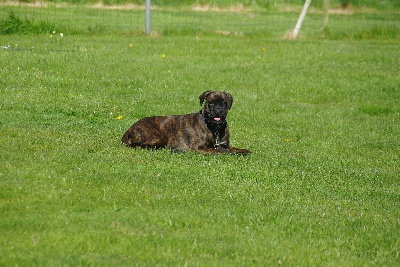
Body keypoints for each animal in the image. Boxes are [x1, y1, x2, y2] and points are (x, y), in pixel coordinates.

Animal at [120, 91, 250, 156]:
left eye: (224, 103)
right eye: (211, 103)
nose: (218, 109)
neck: (215, 128)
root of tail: (127, 131)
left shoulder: (224, 144)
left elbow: (233, 149)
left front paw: (243, 151)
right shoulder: (200, 148)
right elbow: (220, 151)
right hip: (158, 137)